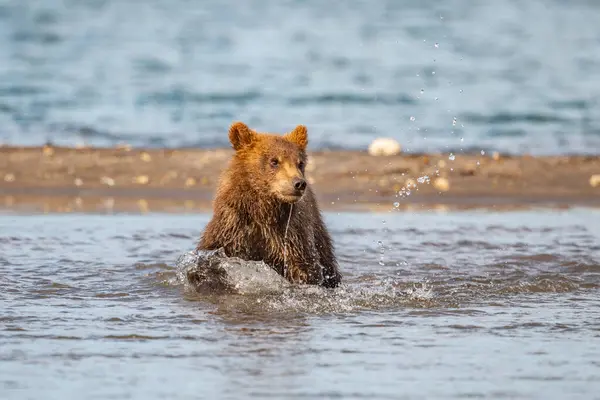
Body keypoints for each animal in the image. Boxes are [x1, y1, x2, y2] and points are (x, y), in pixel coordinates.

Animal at [198, 121, 342, 288]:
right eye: (274, 161)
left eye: (300, 163)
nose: (299, 183)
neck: (263, 211)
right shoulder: (232, 225)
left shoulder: (291, 234)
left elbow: (305, 268)